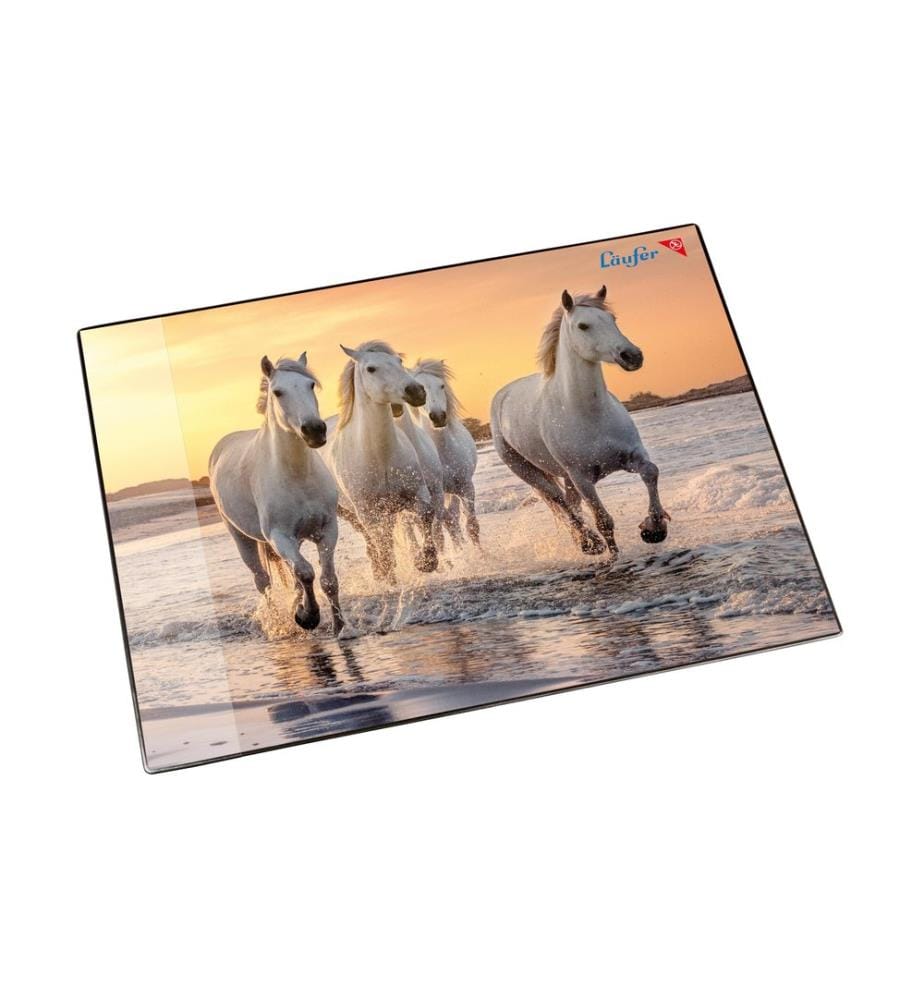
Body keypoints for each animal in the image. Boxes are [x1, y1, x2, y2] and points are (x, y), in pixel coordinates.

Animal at [209, 353, 345, 634]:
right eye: (278, 392)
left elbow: (327, 580)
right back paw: (274, 621)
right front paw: (308, 617)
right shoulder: (279, 536)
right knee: (263, 581)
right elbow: (305, 573)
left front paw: (340, 627)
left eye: (310, 385)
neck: (297, 475)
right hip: (242, 538)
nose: (314, 430)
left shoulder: (327, 529)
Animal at [323, 341, 438, 584]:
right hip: (350, 513)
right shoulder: (367, 511)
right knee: (371, 538)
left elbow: (426, 513)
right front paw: (387, 573)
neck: (380, 456)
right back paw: (380, 571)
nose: (416, 391)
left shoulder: (416, 492)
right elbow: (381, 541)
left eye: (399, 361)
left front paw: (426, 561)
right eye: (371, 369)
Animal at [411, 359, 481, 548]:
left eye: (442, 385)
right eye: (421, 388)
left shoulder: (465, 486)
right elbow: (439, 532)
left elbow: (471, 526)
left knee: (453, 520)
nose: (438, 416)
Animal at [490, 286, 670, 560]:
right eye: (583, 326)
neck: (589, 413)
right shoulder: (581, 477)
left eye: (612, 319)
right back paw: (589, 543)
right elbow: (604, 521)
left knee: (570, 504)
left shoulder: (631, 456)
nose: (632, 356)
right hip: (529, 471)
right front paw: (614, 556)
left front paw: (654, 528)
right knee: (561, 502)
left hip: (565, 476)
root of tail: (502, 395)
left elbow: (651, 471)